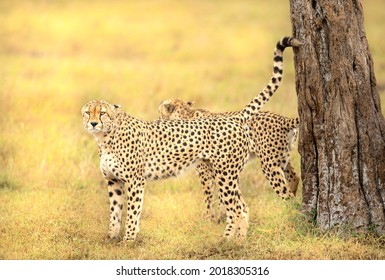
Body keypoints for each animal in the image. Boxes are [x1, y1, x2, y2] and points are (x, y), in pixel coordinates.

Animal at [81, 36, 302, 242]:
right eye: (87, 112)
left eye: (102, 113)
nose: (93, 123)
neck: (105, 138)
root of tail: (235, 117)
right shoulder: (113, 181)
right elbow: (115, 212)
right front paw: (111, 236)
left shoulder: (136, 180)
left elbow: (133, 212)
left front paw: (129, 239)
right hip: (239, 171)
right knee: (245, 205)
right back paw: (235, 239)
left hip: (232, 173)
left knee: (240, 208)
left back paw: (231, 241)